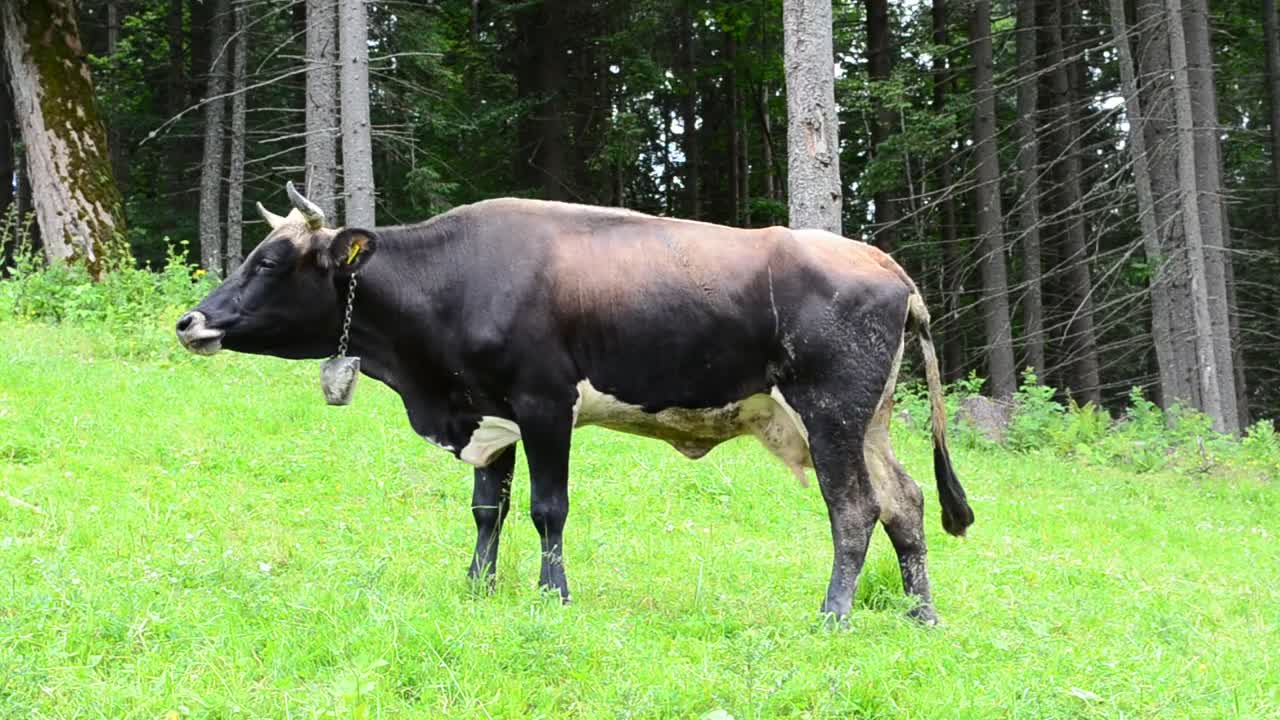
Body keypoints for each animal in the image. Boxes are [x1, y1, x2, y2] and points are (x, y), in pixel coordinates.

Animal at [176, 182, 973, 623]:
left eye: (270, 262)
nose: (190, 321)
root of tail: (882, 261)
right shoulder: (488, 413)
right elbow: (487, 509)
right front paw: (477, 587)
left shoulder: (544, 403)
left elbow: (546, 508)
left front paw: (551, 594)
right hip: (867, 422)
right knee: (905, 503)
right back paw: (921, 614)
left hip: (831, 413)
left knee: (855, 509)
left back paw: (834, 614)